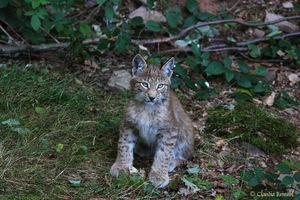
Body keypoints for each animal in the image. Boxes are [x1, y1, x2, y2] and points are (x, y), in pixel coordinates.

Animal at [110, 54, 195, 188]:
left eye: (160, 86)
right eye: (145, 84)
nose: (152, 97)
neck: (147, 108)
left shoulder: (169, 130)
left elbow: (164, 153)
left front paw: (159, 175)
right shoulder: (128, 124)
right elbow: (124, 145)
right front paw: (121, 166)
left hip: (186, 128)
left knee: (186, 155)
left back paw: (171, 162)